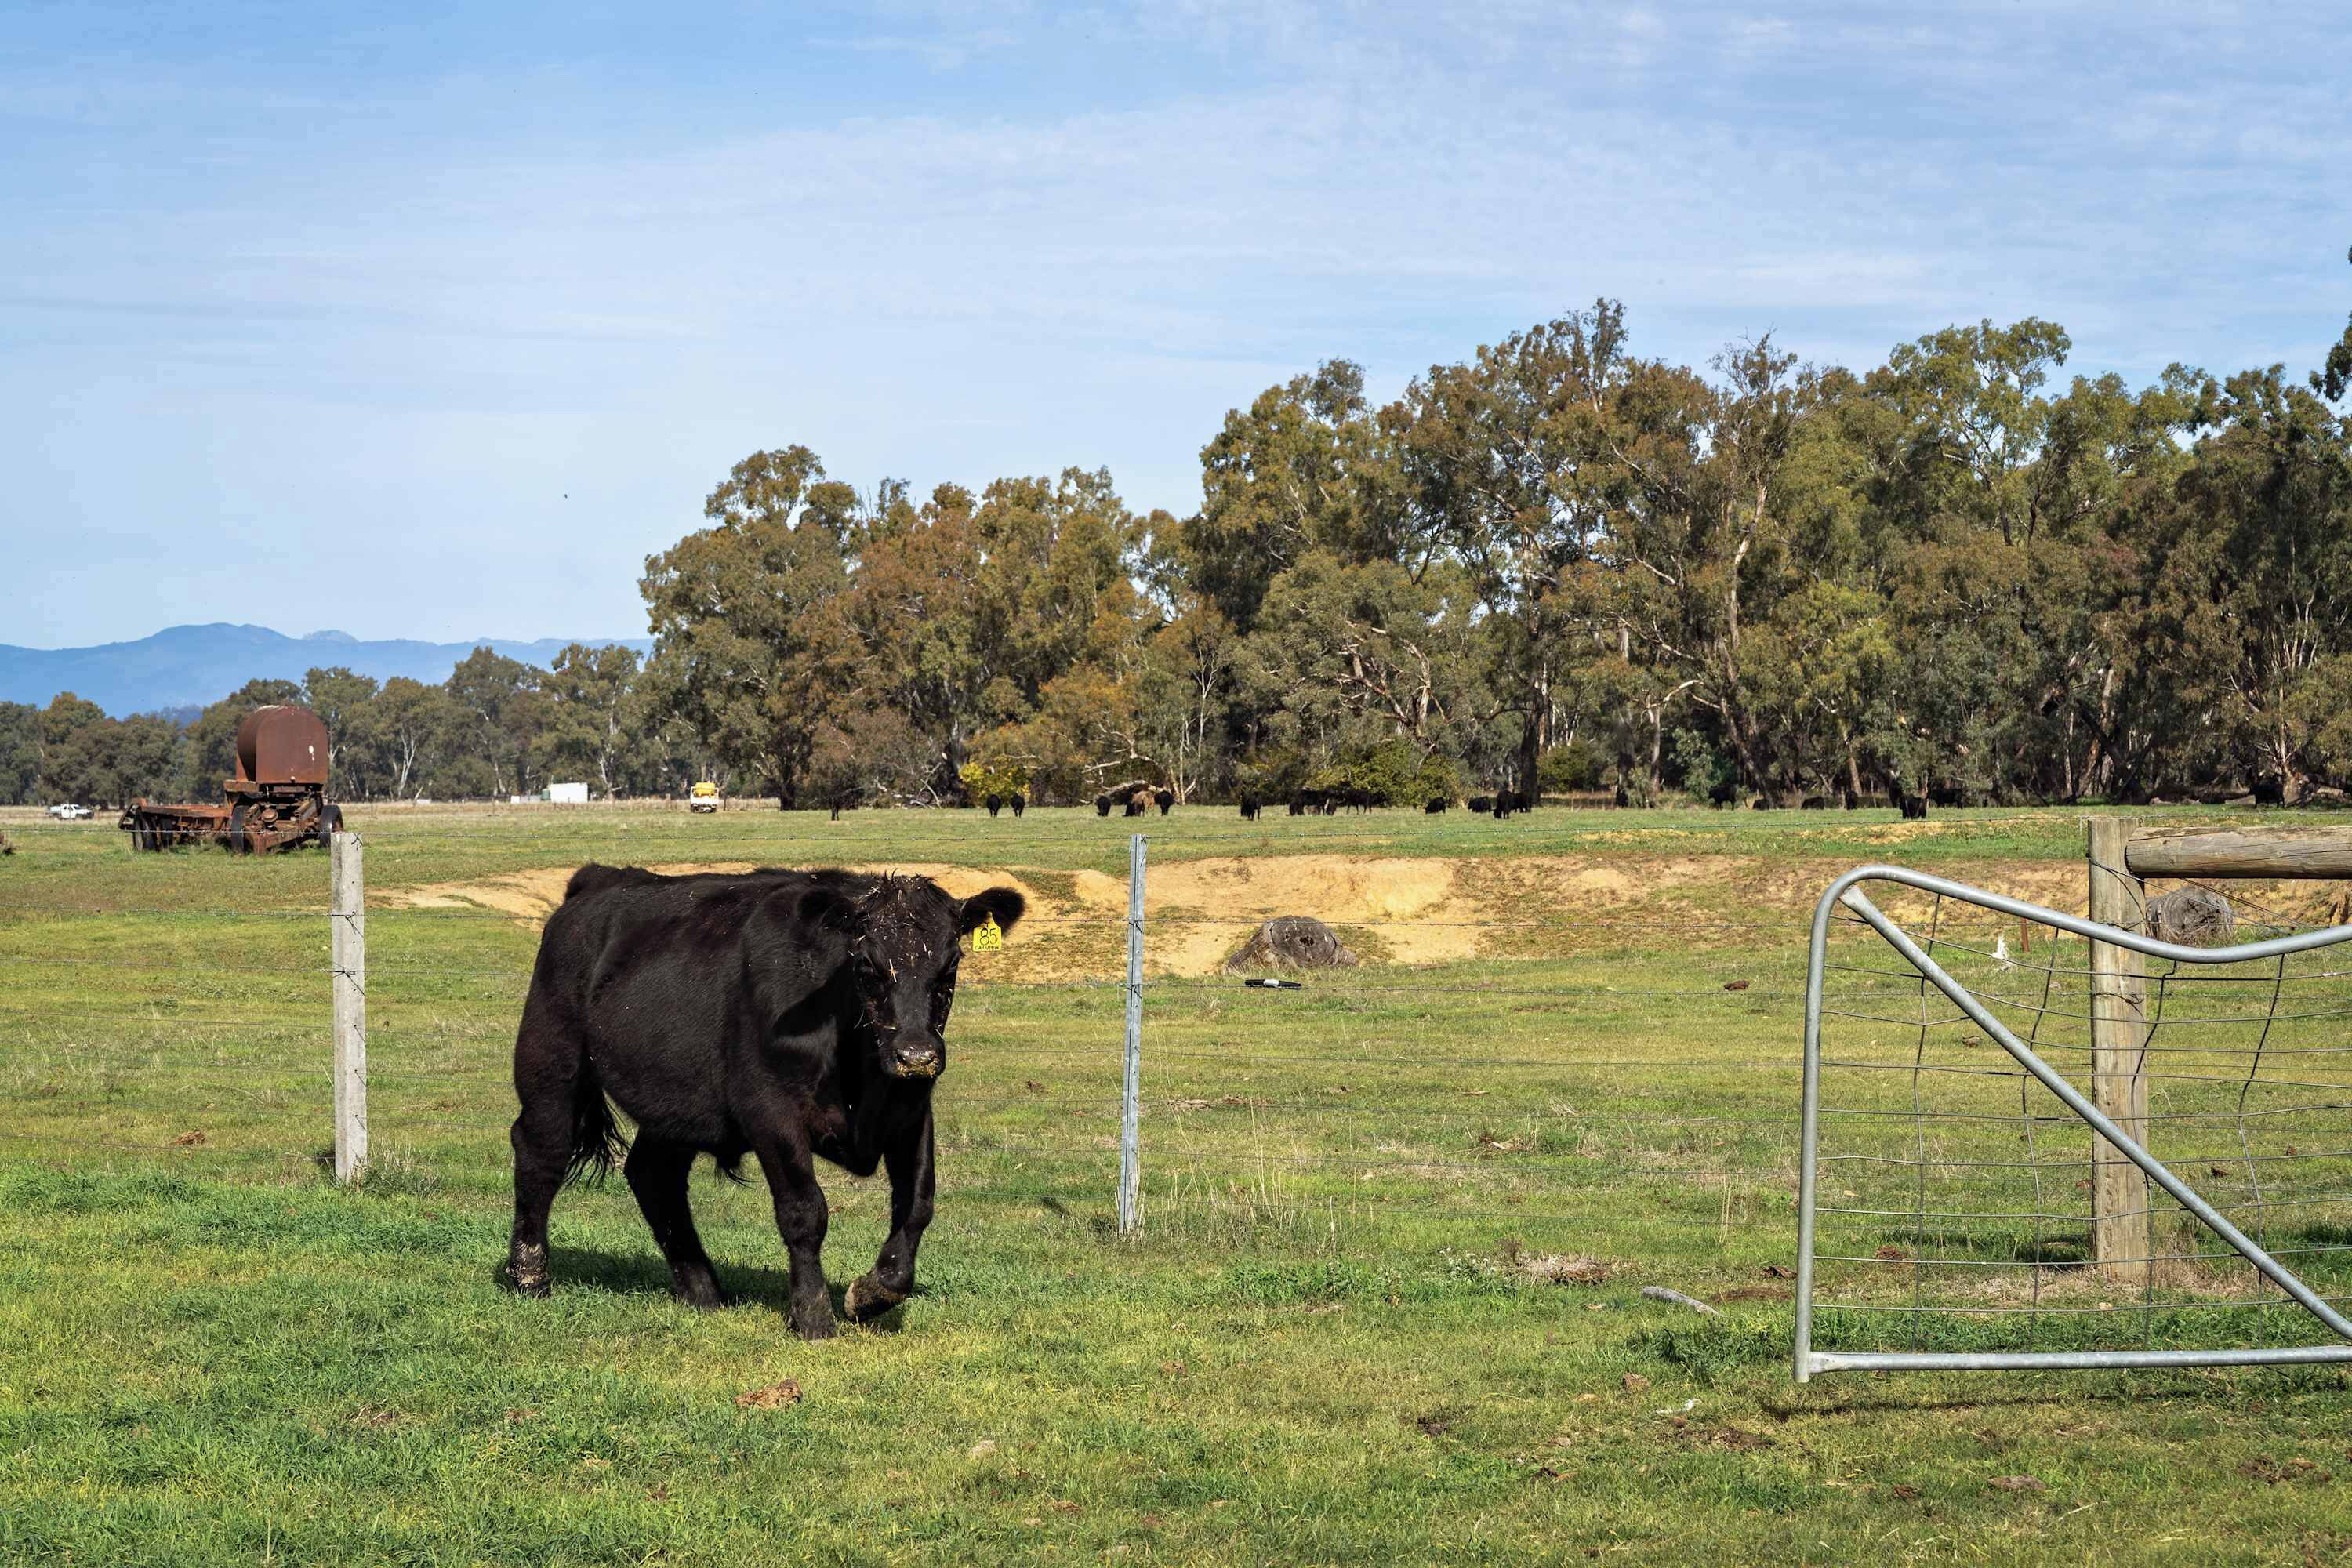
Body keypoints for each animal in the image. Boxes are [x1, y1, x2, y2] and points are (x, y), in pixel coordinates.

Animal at [505, 864, 1025, 1339]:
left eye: (951, 964)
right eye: (867, 965)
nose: (915, 1054)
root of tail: (597, 880)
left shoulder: (911, 1110)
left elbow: (917, 1206)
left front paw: (871, 1294)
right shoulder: (771, 1112)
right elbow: (805, 1211)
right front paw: (813, 1317)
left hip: (676, 1103)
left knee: (653, 1174)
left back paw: (702, 1290)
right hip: (551, 1059)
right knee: (542, 1152)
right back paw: (529, 1277)